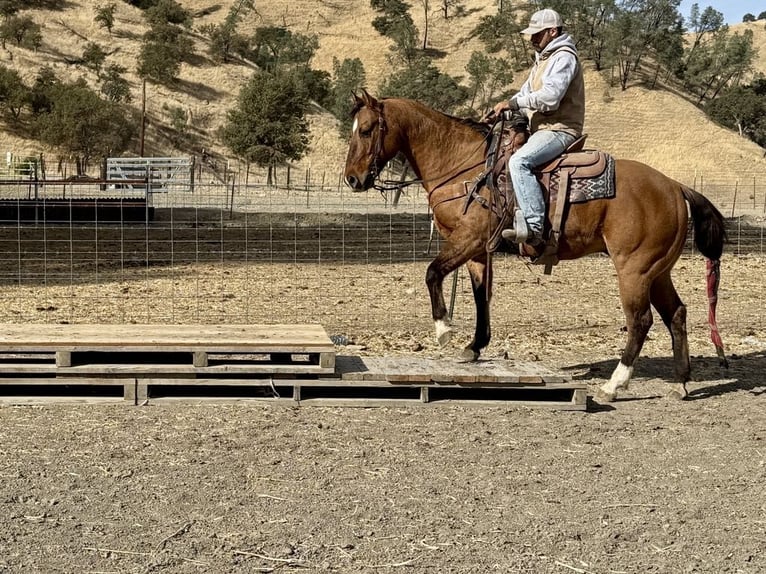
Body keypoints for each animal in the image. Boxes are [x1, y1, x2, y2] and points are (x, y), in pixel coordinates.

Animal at [344, 91, 728, 404]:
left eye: (366, 130)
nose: (352, 179)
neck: (464, 167)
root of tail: (675, 186)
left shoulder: (468, 239)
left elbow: (432, 272)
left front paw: (444, 329)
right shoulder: (478, 251)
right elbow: (482, 297)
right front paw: (474, 346)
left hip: (634, 269)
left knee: (641, 320)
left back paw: (614, 385)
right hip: (657, 271)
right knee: (676, 314)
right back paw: (681, 383)